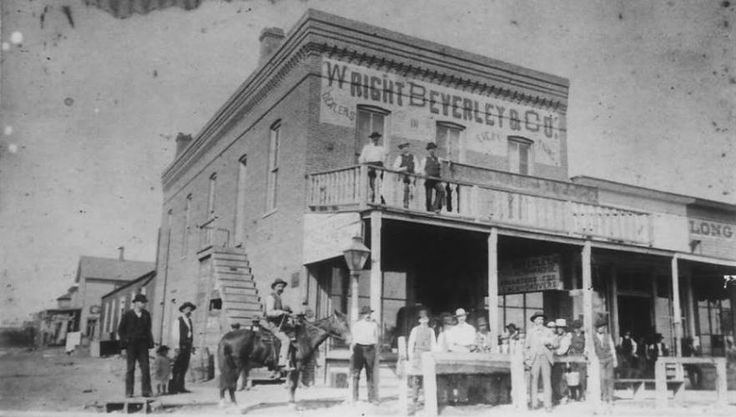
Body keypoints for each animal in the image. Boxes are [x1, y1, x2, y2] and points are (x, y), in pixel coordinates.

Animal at [217, 310, 352, 404]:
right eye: (344, 323)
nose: (351, 339)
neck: (305, 337)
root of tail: (225, 338)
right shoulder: (297, 366)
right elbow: (293, 385)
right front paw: (293, 405)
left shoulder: (292, 369)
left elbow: (291, 385)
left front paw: (290, 402)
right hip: (236, 367)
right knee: (230, 386)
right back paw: (234, 406)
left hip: (228, 366)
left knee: (224, 384)